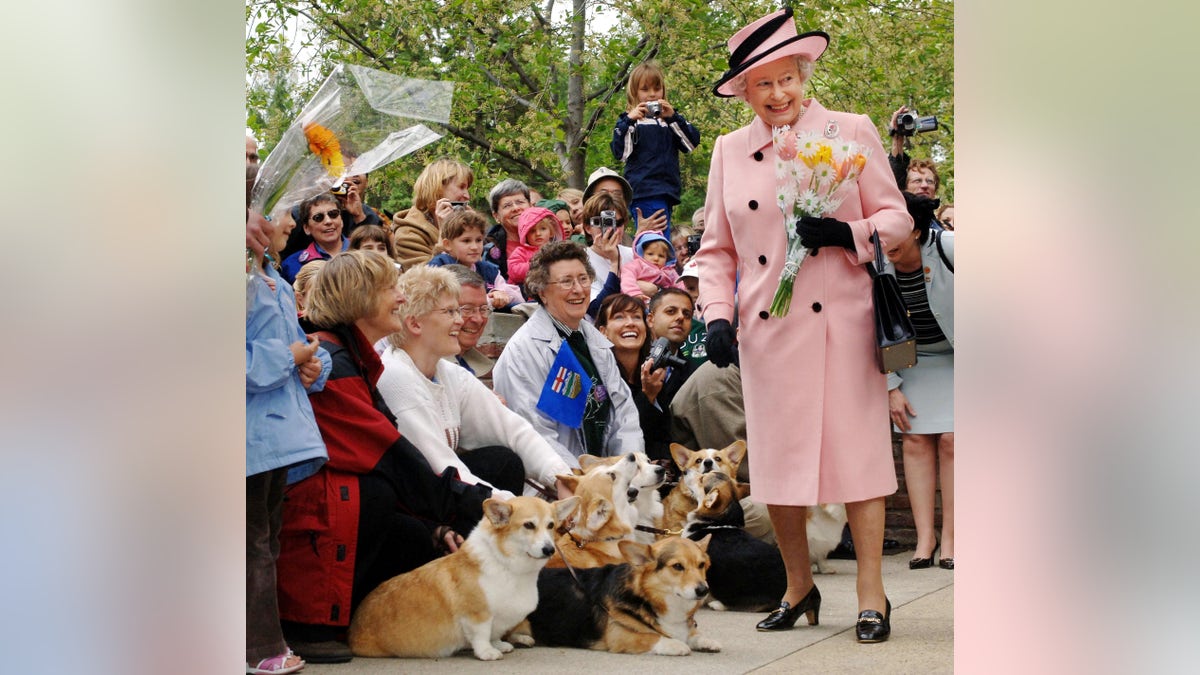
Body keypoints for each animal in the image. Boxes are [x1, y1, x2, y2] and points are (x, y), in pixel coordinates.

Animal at [348, 494, 576, 658]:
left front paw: (499, 645)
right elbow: (482, 635)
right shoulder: (476, 615)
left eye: (551, 525)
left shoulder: (499, 618)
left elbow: (494, 633)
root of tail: (352, 631)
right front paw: (488, 653)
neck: (507, 566)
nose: (549, 550)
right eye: (529, 525)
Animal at [528, 533, 720, 653]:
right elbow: (650, 637)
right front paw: (675, 645)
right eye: (678, 566)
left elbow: (693, 635)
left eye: (701, 565)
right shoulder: (618, 635)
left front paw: (705, 641)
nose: (703, 590)